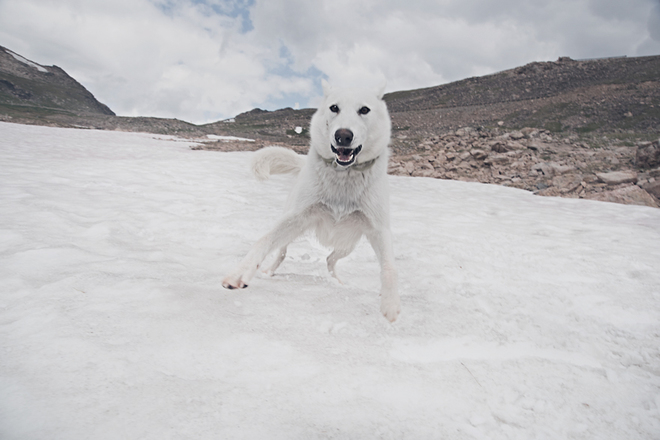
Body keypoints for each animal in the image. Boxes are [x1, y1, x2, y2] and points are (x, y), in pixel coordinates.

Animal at [222, 82, 400, 322]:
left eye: (364, 110)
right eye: (334, 107)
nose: (343, 136)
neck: (343, 177)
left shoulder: (379, 230)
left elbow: (389, 267)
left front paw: (390, 303)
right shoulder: (296, 217)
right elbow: (262, 241)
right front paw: (239, 273)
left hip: (348, 245)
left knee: (330, 259)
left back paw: (338, 282)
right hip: (292, 229)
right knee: (282, 253)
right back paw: (268, 272)